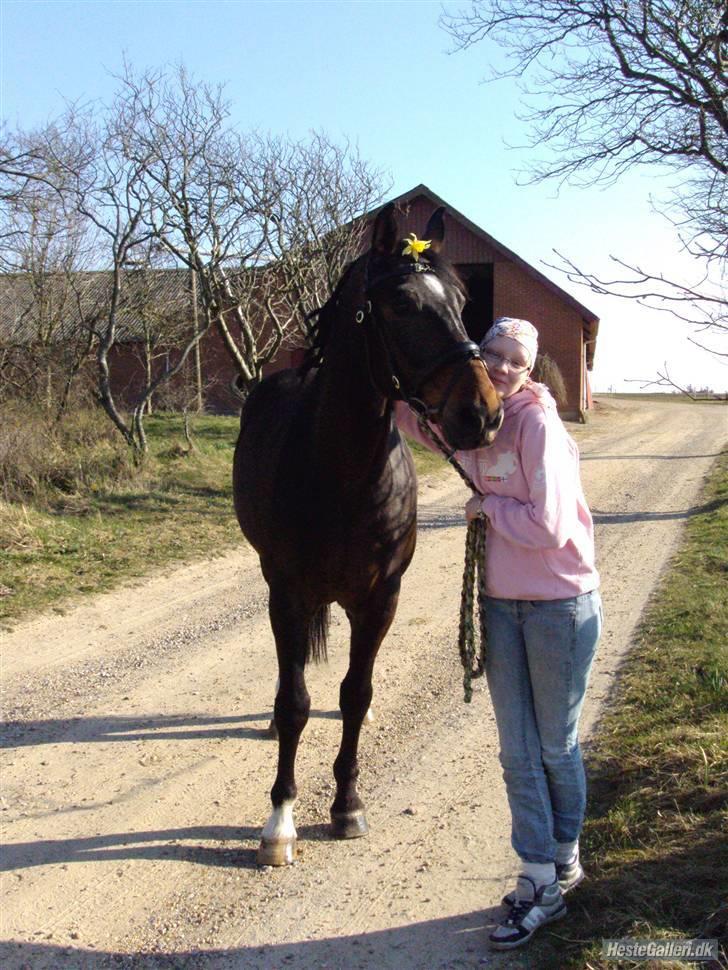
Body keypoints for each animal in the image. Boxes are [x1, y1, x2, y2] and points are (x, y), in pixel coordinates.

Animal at [233, 202, 503, 866]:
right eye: (401, 304)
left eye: (463, 299)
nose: (483, 415)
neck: (341, 470)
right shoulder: (288, 593)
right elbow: (295, 701)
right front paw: (280, 820)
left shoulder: (381, 597)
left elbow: (354, 692)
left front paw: (347, 805)